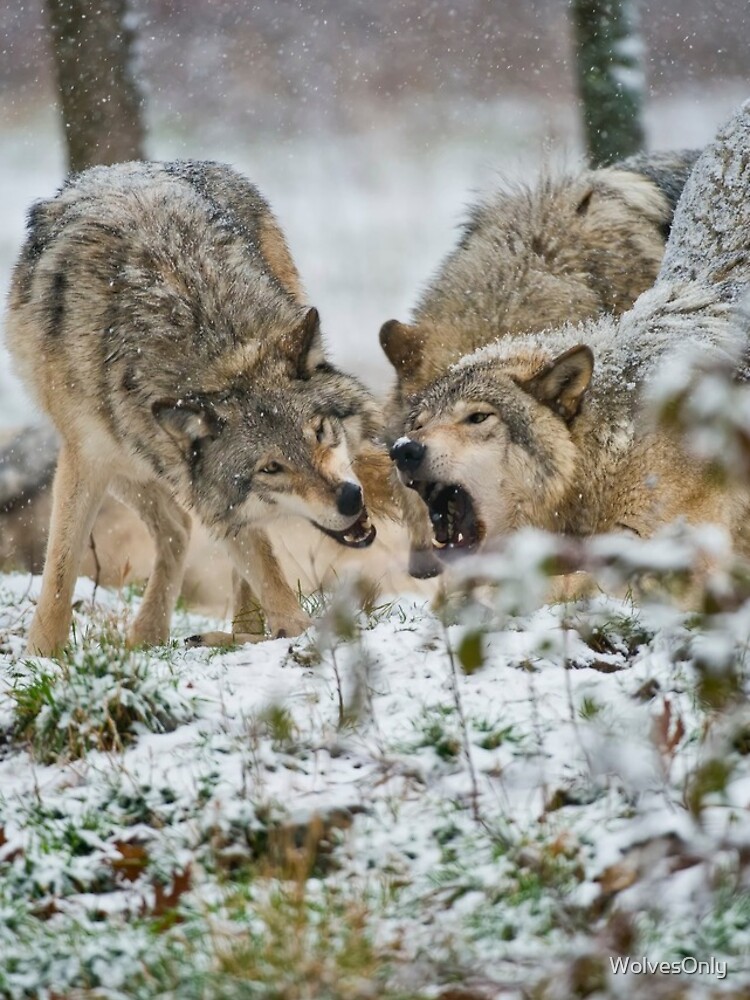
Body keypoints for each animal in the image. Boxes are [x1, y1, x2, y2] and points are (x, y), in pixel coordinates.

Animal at [5, 160, 395, 656]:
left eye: (321, 432)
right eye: (271, 468)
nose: (349, 498)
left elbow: (265, 570)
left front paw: (285, 631)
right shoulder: (87, 457)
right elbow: (58, 570)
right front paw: (44, 655)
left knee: (201, 534)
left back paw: (235, 632)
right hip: (130, 457)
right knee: (178, 527)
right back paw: (155, 633)